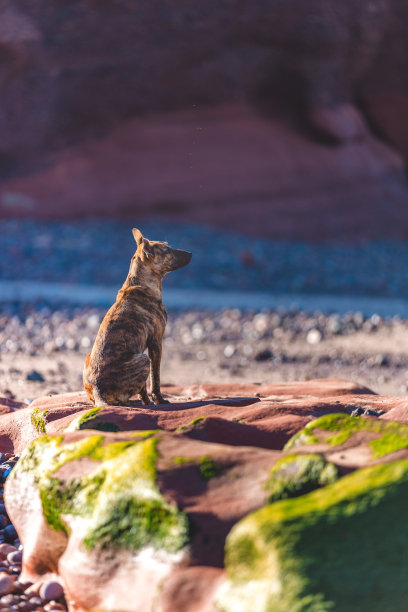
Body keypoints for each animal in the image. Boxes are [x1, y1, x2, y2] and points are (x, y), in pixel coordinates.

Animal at [83, 227, 192, 404]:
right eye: (167, 250)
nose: (190, 253)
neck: (141, 283)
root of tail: (99, 390)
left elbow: (144, 387)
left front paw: (147, 400)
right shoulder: (156, 342)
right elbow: (155, 377)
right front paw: (158, 400)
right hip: (143, 359)